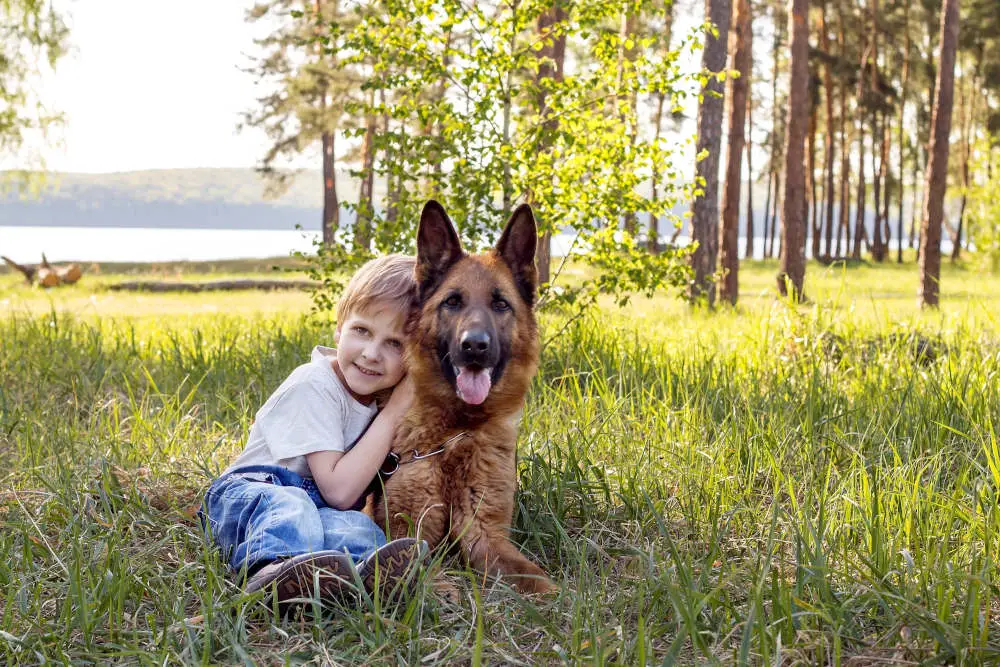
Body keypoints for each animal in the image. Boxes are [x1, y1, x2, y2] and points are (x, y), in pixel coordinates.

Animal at [368, 198, 556, 596]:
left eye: (500, 304)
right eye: (452, 302)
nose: (475, 346)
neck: (457, 433)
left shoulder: (487, 536)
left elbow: (537, 579)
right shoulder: (406, 529)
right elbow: (420, 565)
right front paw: (441, 589)